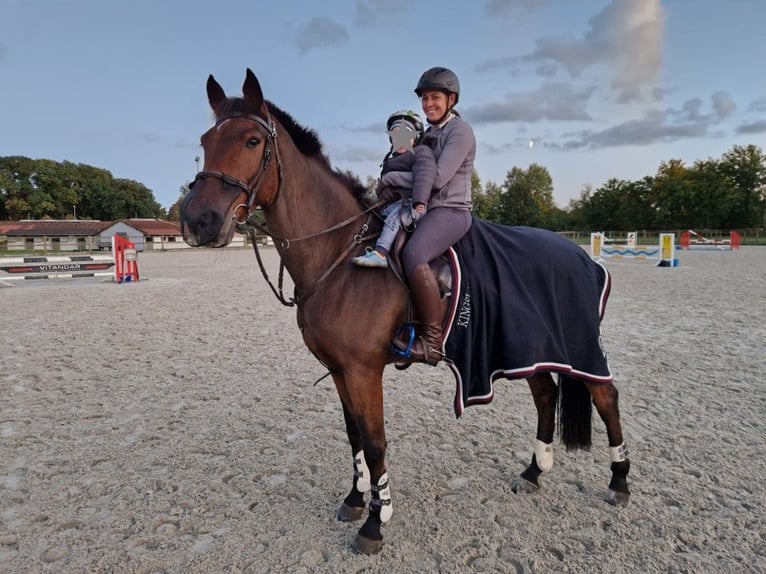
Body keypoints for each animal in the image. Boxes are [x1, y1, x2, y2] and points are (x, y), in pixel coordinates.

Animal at [183, 70, 632, 556]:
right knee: (546, 394)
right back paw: (534, 471)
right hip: (531, 348)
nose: (199, 221)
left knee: (606, 397)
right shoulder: (340, 369)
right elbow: (354, 435)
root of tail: (583, 256)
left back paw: (620, 481)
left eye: (251, 141)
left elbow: (376, 441)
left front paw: (376, 522)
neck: (339, 255)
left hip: (578, 349)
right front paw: (356, 498)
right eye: (205, 141)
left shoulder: (363, 370)